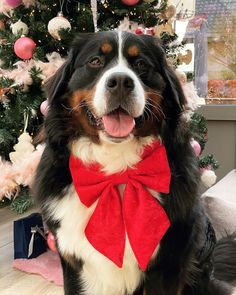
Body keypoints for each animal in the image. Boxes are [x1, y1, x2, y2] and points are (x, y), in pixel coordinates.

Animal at [33, 31, 236, 294]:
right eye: (95, 61)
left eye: (141, 64)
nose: (120, 82)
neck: (117, 170)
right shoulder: (72, 262)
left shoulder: (167, 263)